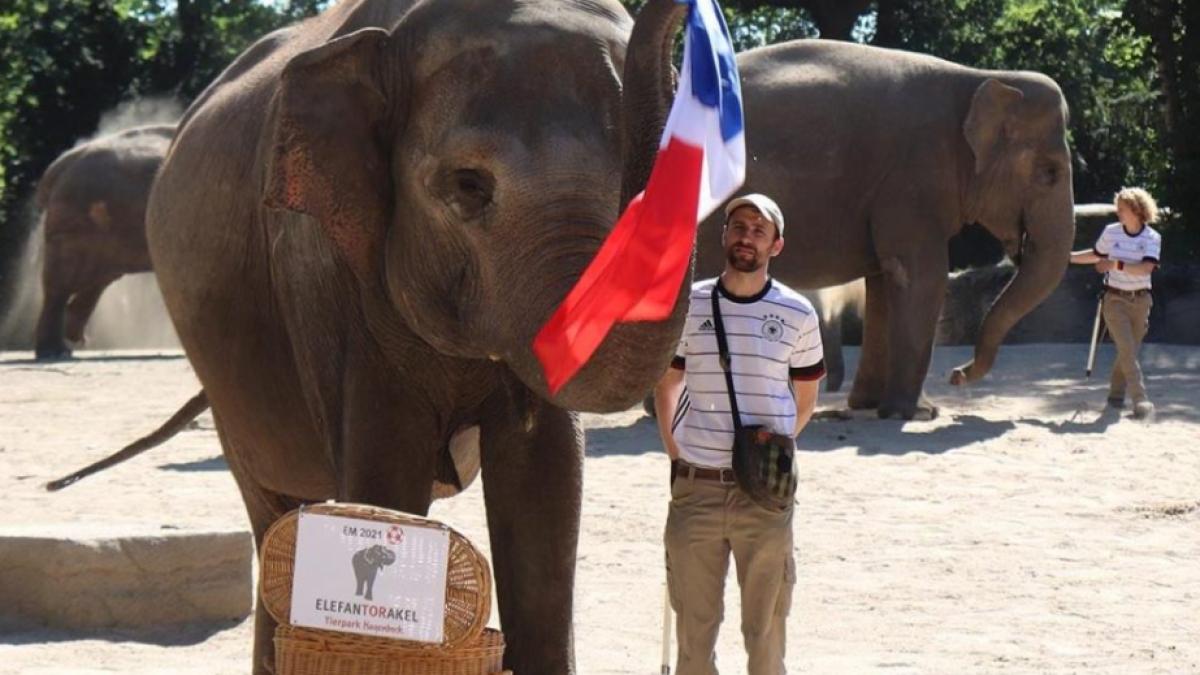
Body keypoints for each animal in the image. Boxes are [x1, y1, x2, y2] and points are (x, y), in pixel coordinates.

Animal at [32, 124, 174, 359]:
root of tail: (60, 164)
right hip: (74, 223)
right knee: (61, 284)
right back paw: (55, 352)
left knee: (100, 277)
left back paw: (74, 339)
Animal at [142, 0, 693, 672]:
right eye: (469, 185)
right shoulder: (325, 275)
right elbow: (388, 473)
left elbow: (545, 481)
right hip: (227, 392)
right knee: (272, 508)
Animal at [690, 40, 1075, 419]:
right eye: (1049, 173)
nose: (957, 376)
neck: (982, 77)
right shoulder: (913, 177)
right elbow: (922, 276)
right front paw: (915, 413)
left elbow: (884, 282)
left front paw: (871, 406)